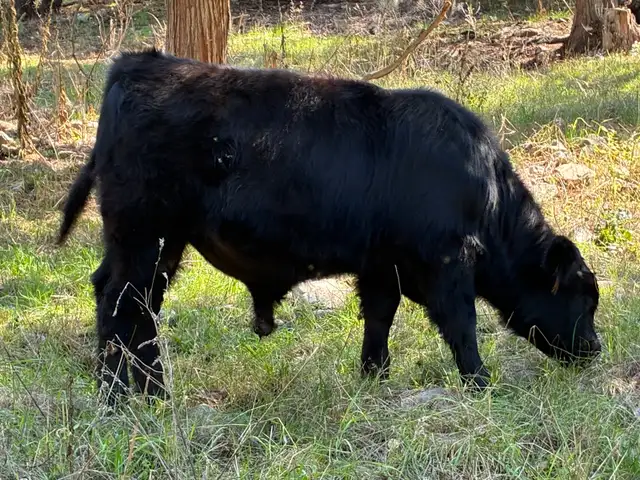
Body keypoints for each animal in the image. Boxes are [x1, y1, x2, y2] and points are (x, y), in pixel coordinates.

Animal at [56, 49, 601, 405]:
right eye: (584, 297)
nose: (595, 350)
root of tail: (139, 63)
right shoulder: (446, 262)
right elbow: (461, 325)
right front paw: (481, 385)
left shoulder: (382, 266)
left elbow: (380, 319)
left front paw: (374, 378)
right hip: (142, 233)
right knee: (121, 304)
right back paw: (121, 398)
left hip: (161, 242)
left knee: (136, 305)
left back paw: (151, 392)